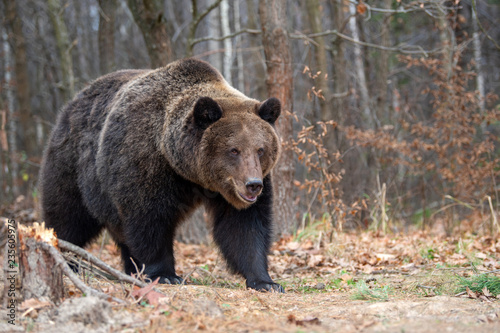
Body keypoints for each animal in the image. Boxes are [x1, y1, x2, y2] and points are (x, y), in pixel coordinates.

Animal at [37, 58, 284, 292]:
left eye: (260, 149)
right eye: (234, 150)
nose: (253, 185)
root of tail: (74, 100)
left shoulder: (233, 190)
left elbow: (244, 226)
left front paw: (266, 282)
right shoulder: (145, 163)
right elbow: (148, 219)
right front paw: (166, 274)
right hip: (73, 166)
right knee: (68, 216)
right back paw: (67, 259)